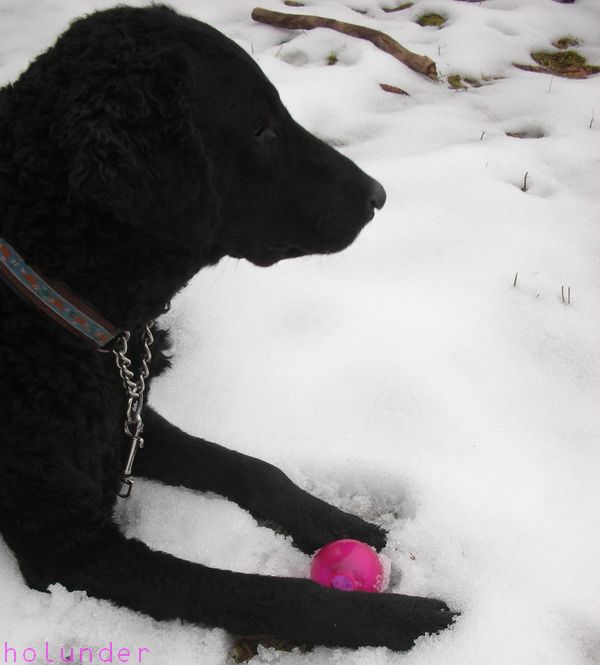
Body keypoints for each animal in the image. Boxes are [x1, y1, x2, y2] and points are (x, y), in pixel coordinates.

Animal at [0, 5, 455, 650]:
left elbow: (255, 470)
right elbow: (268, 595)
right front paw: (404, 619)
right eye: (260, 130)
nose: (379, 196)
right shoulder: (69, 545)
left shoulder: (126, 422)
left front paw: (343, 523)